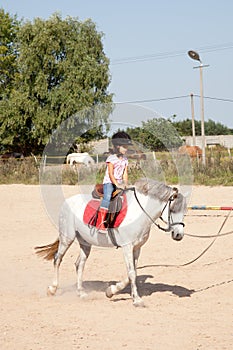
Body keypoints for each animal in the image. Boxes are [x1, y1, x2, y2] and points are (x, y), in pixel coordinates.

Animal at [35, 179, 187, 308]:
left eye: (184, 211)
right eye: (172, 209)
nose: (178, 235)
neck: (139, 213)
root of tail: (67, 201)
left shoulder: (137, 248)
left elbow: (133, 273)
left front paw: (111, 291)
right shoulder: (127, 247)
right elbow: (132, 273)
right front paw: (137, 300)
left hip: (85, 243)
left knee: (79, 264)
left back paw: (81, 293)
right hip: (67, 237)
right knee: (57, 259)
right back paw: (52, 289)